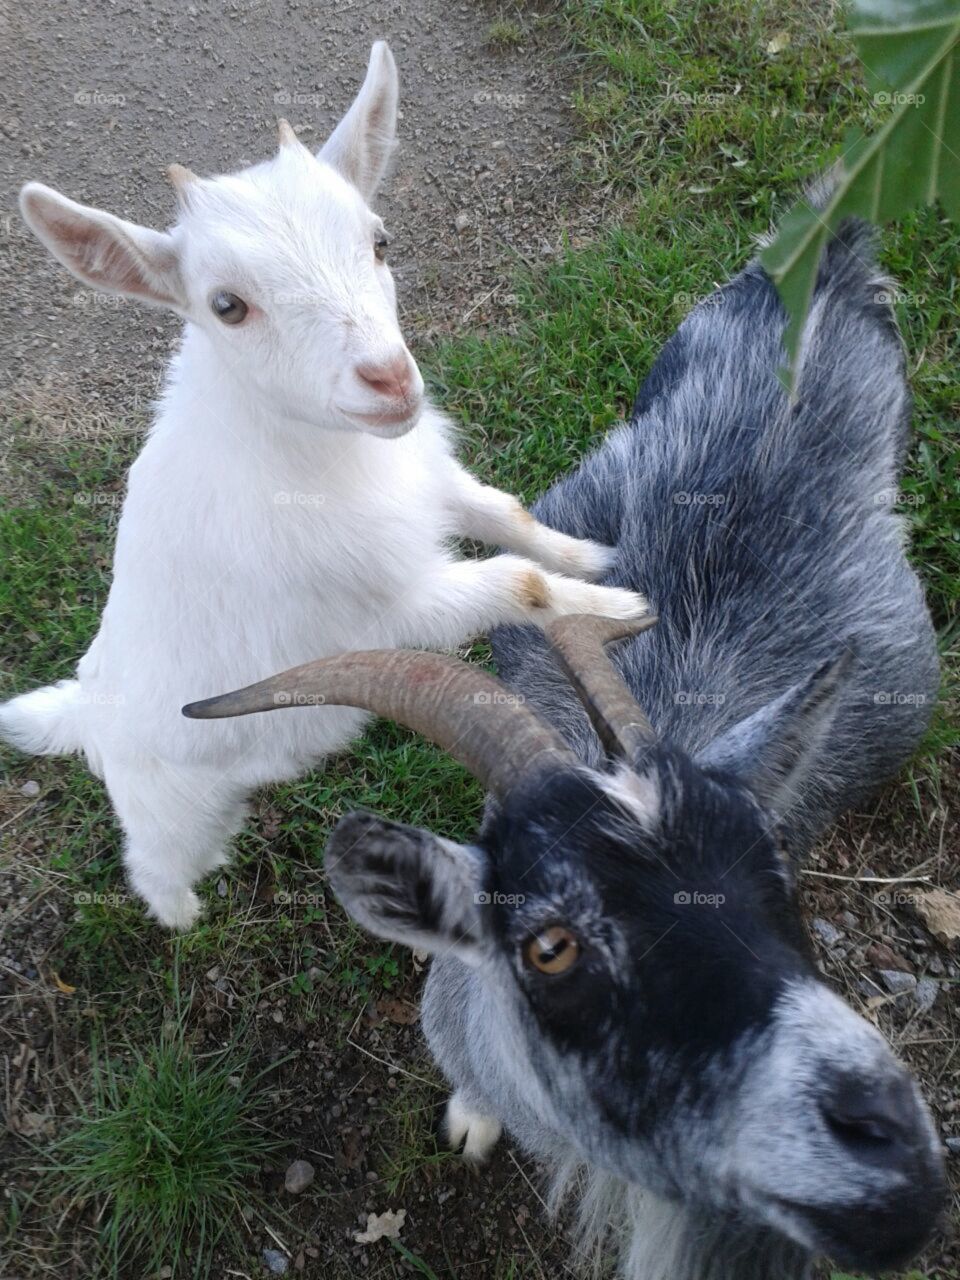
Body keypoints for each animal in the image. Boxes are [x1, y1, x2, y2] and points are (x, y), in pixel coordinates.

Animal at [0, 41, 646, 929]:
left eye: (380, 240)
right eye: (227, 305)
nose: (388, 379)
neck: (308, 459)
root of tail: (85, 712)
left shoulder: (428, 486)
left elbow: (507, 515)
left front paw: (593, 556)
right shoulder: (391, 611)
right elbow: (515, 584)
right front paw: (623, 606)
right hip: (165, 810)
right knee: (155, 861)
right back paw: (182, 915)